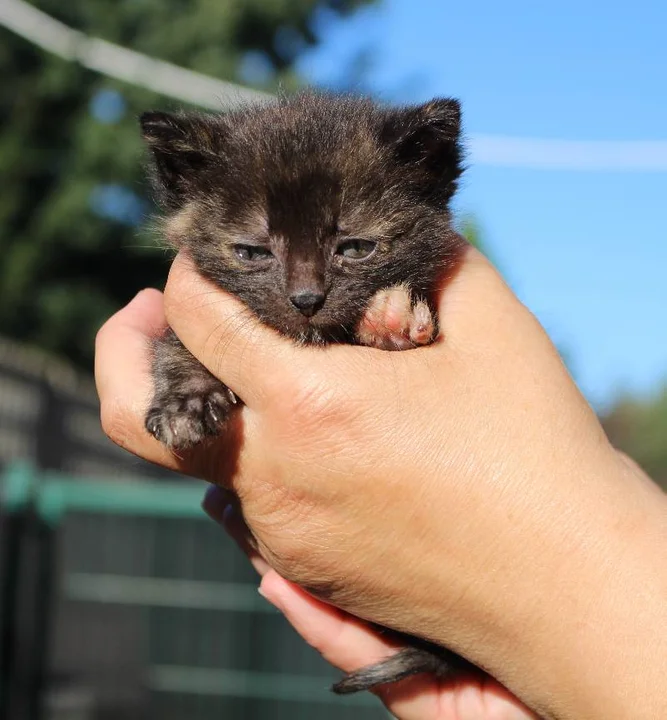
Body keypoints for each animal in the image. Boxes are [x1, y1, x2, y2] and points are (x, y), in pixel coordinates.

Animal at [140, 90, 468, 696]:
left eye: (356, 247)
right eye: (251, 252)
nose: (307, 298)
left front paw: (391, 321)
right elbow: (176, 342)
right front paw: (185, 401)